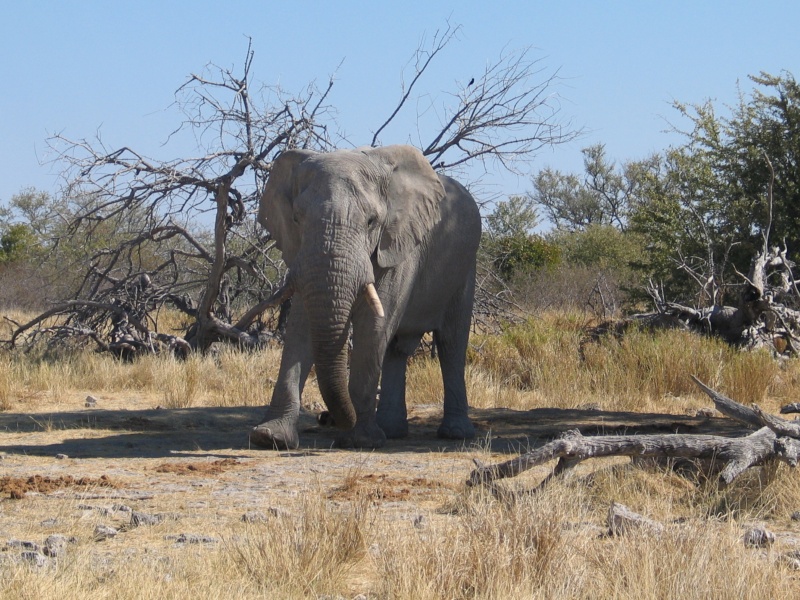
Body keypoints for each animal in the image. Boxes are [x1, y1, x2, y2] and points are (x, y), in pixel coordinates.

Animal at [248, 143, 482, 448]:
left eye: (372, 222)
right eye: (297, 219)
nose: (326, 419)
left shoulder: (398, 244)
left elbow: (373, 325)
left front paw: (360, 440)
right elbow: (301, 326)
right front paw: (270, 437)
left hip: (465, 268)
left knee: (451, 343)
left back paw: (455, 433)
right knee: (397, 350)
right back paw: (392, 431)